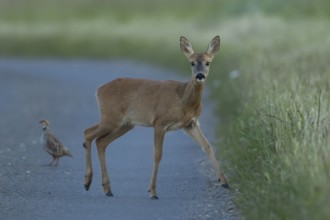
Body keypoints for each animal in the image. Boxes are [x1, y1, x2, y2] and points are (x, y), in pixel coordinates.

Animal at [82, 36, 228, 199]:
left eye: (208, 62)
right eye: (192, 63)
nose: (200, 75)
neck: (184, 100)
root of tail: (99, 90)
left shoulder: (190, 124)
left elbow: (207, 146)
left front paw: (224, 182)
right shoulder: (160, 122)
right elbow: (157, 155)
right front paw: (152, 191)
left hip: (125, 124)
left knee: (101, 142)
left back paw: (107, 188)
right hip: (111, 117)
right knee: (87, 133)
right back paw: (87, 182)